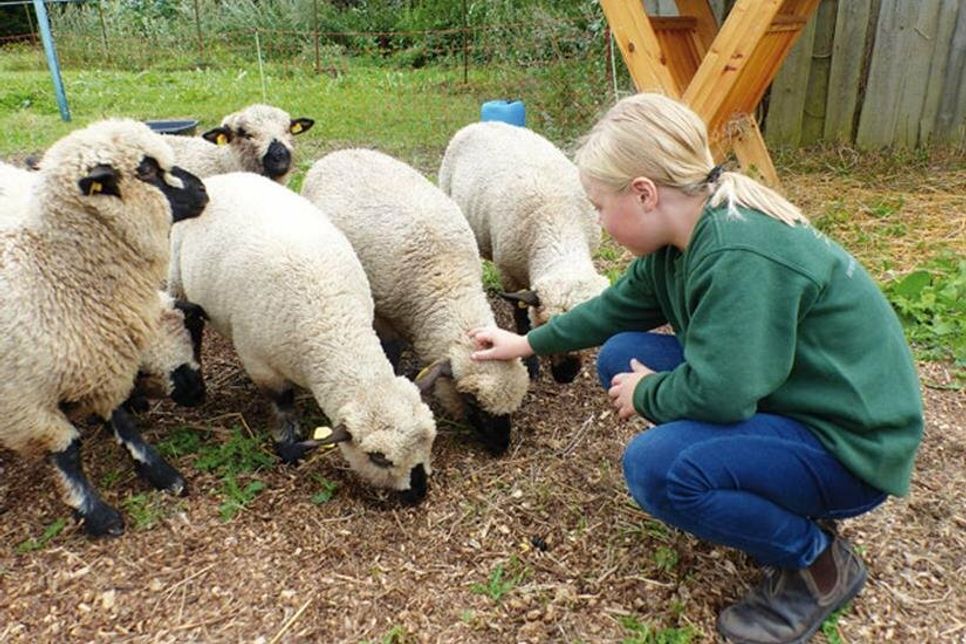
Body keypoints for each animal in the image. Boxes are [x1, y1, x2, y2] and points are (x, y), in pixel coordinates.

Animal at [0, 119, 209, 537]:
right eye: (146, 170)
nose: (203, 191)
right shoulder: (22, 401)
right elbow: (67, 451)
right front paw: (95, 512)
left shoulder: (102, 358)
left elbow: (121, 420)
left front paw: (161, 472)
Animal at [167, 172, 437, 503]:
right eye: (378, 458)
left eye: (431, 438)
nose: (419, 493)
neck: (330, 324)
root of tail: (223, 177)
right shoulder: (260, 363)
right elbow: (282, 402)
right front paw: (288, 445)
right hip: (177, 279)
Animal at [301, 149, 530, 456]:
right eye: (471, 401)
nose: (501, 447)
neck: (446, 282)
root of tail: (342, 152)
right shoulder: (383, 314)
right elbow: (391, 350)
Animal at [438, 121, 610, 383]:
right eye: (542, 325)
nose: (565, 376)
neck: (557, 223)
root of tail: (481, 123)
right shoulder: (509, 274)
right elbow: (520, 318)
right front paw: (531, 366)